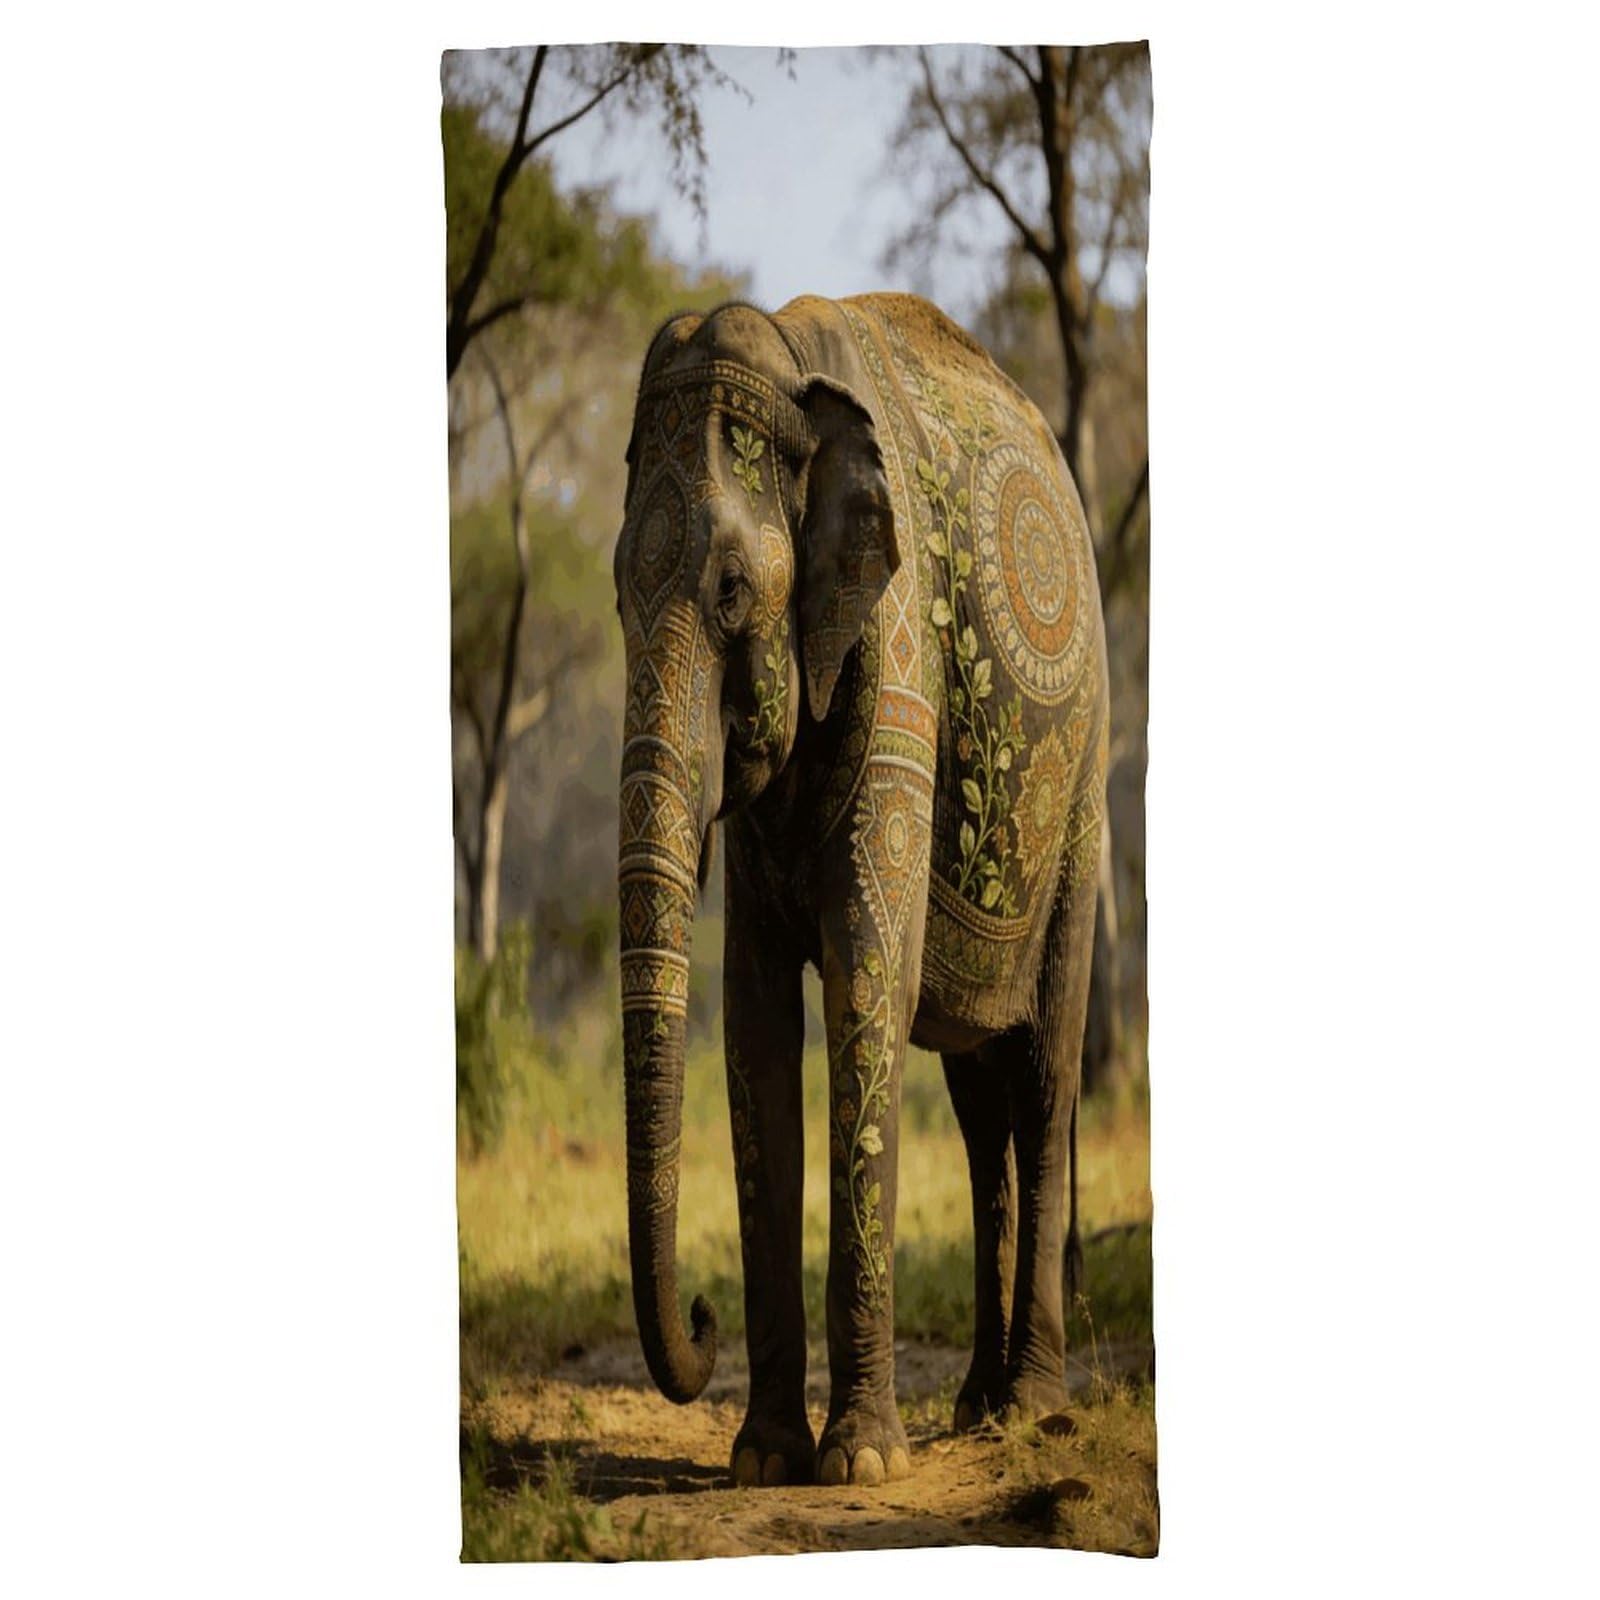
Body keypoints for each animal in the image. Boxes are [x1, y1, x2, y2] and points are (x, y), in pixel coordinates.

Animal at [613, 293, 1109, 1488]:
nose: (699, 1319)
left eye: (731, 592)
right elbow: (751, 1020)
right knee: (978, 1101)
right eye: (611, 592)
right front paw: (762, 1461)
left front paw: (861, 1467)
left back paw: (1030, 1410)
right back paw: (976, 1408)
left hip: (1084, 786)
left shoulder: (897, 653)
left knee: (1044, 1076)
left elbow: (864, 987)